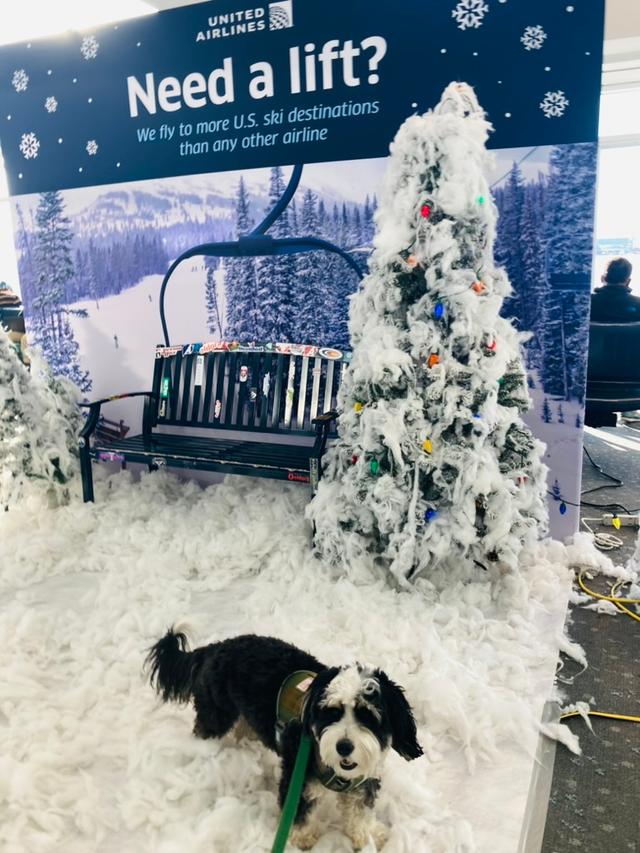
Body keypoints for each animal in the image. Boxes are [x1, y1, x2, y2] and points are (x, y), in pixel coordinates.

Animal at [147, 624, 422, 848]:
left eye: (368, 715)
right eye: (331, 713)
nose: (344, 747)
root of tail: (216, 647)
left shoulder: (363, 782)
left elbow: (359, 811)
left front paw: (368, 835)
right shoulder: (297, 775)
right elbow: (299, 813)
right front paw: (303, 839)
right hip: (216, 713)